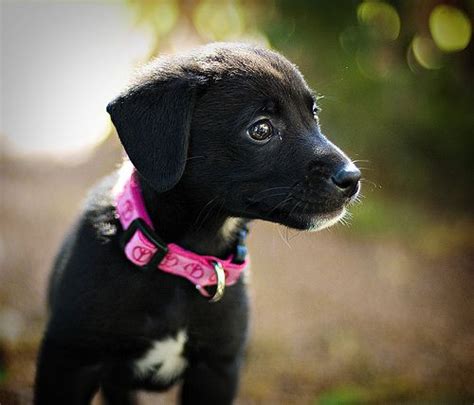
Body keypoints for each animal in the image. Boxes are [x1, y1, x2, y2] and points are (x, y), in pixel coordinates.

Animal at [34, 42, 360, 402]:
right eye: (260, 129)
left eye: (313, 114)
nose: (352, 178)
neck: (182, 262)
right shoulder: (71, 361)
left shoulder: (217, 368)